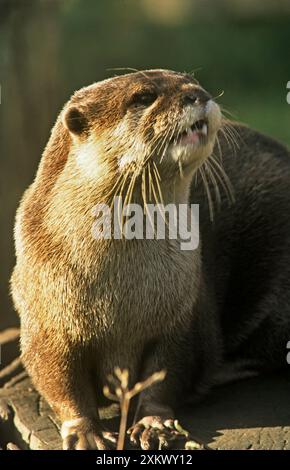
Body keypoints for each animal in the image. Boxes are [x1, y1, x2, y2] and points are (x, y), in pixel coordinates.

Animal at [10, 69, 290, 448]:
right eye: (143, 97)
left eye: (189, 79)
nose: (198, 94)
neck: (121, 298)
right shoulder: (46, 319)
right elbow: (58, 378)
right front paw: (85, 431)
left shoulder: (180, 317)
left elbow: (167, 372)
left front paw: (154, 423)